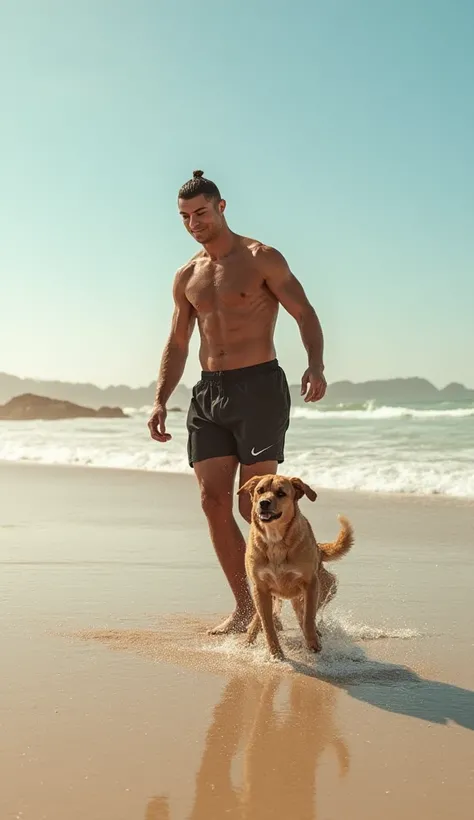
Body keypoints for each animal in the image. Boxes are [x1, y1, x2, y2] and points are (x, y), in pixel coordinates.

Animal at [237, 474, 352, 660]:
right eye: (260, 490)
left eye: (281, 493)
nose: (264, 503)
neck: (275, 540)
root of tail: (319, 550)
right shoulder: (260, 588)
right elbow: (267, 623)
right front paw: (276, 653)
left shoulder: (310, 584)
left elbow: (308, 617)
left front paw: (313, 643)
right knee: (260, 617)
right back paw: (248, 640)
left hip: (320, 590)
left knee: (304, 615)